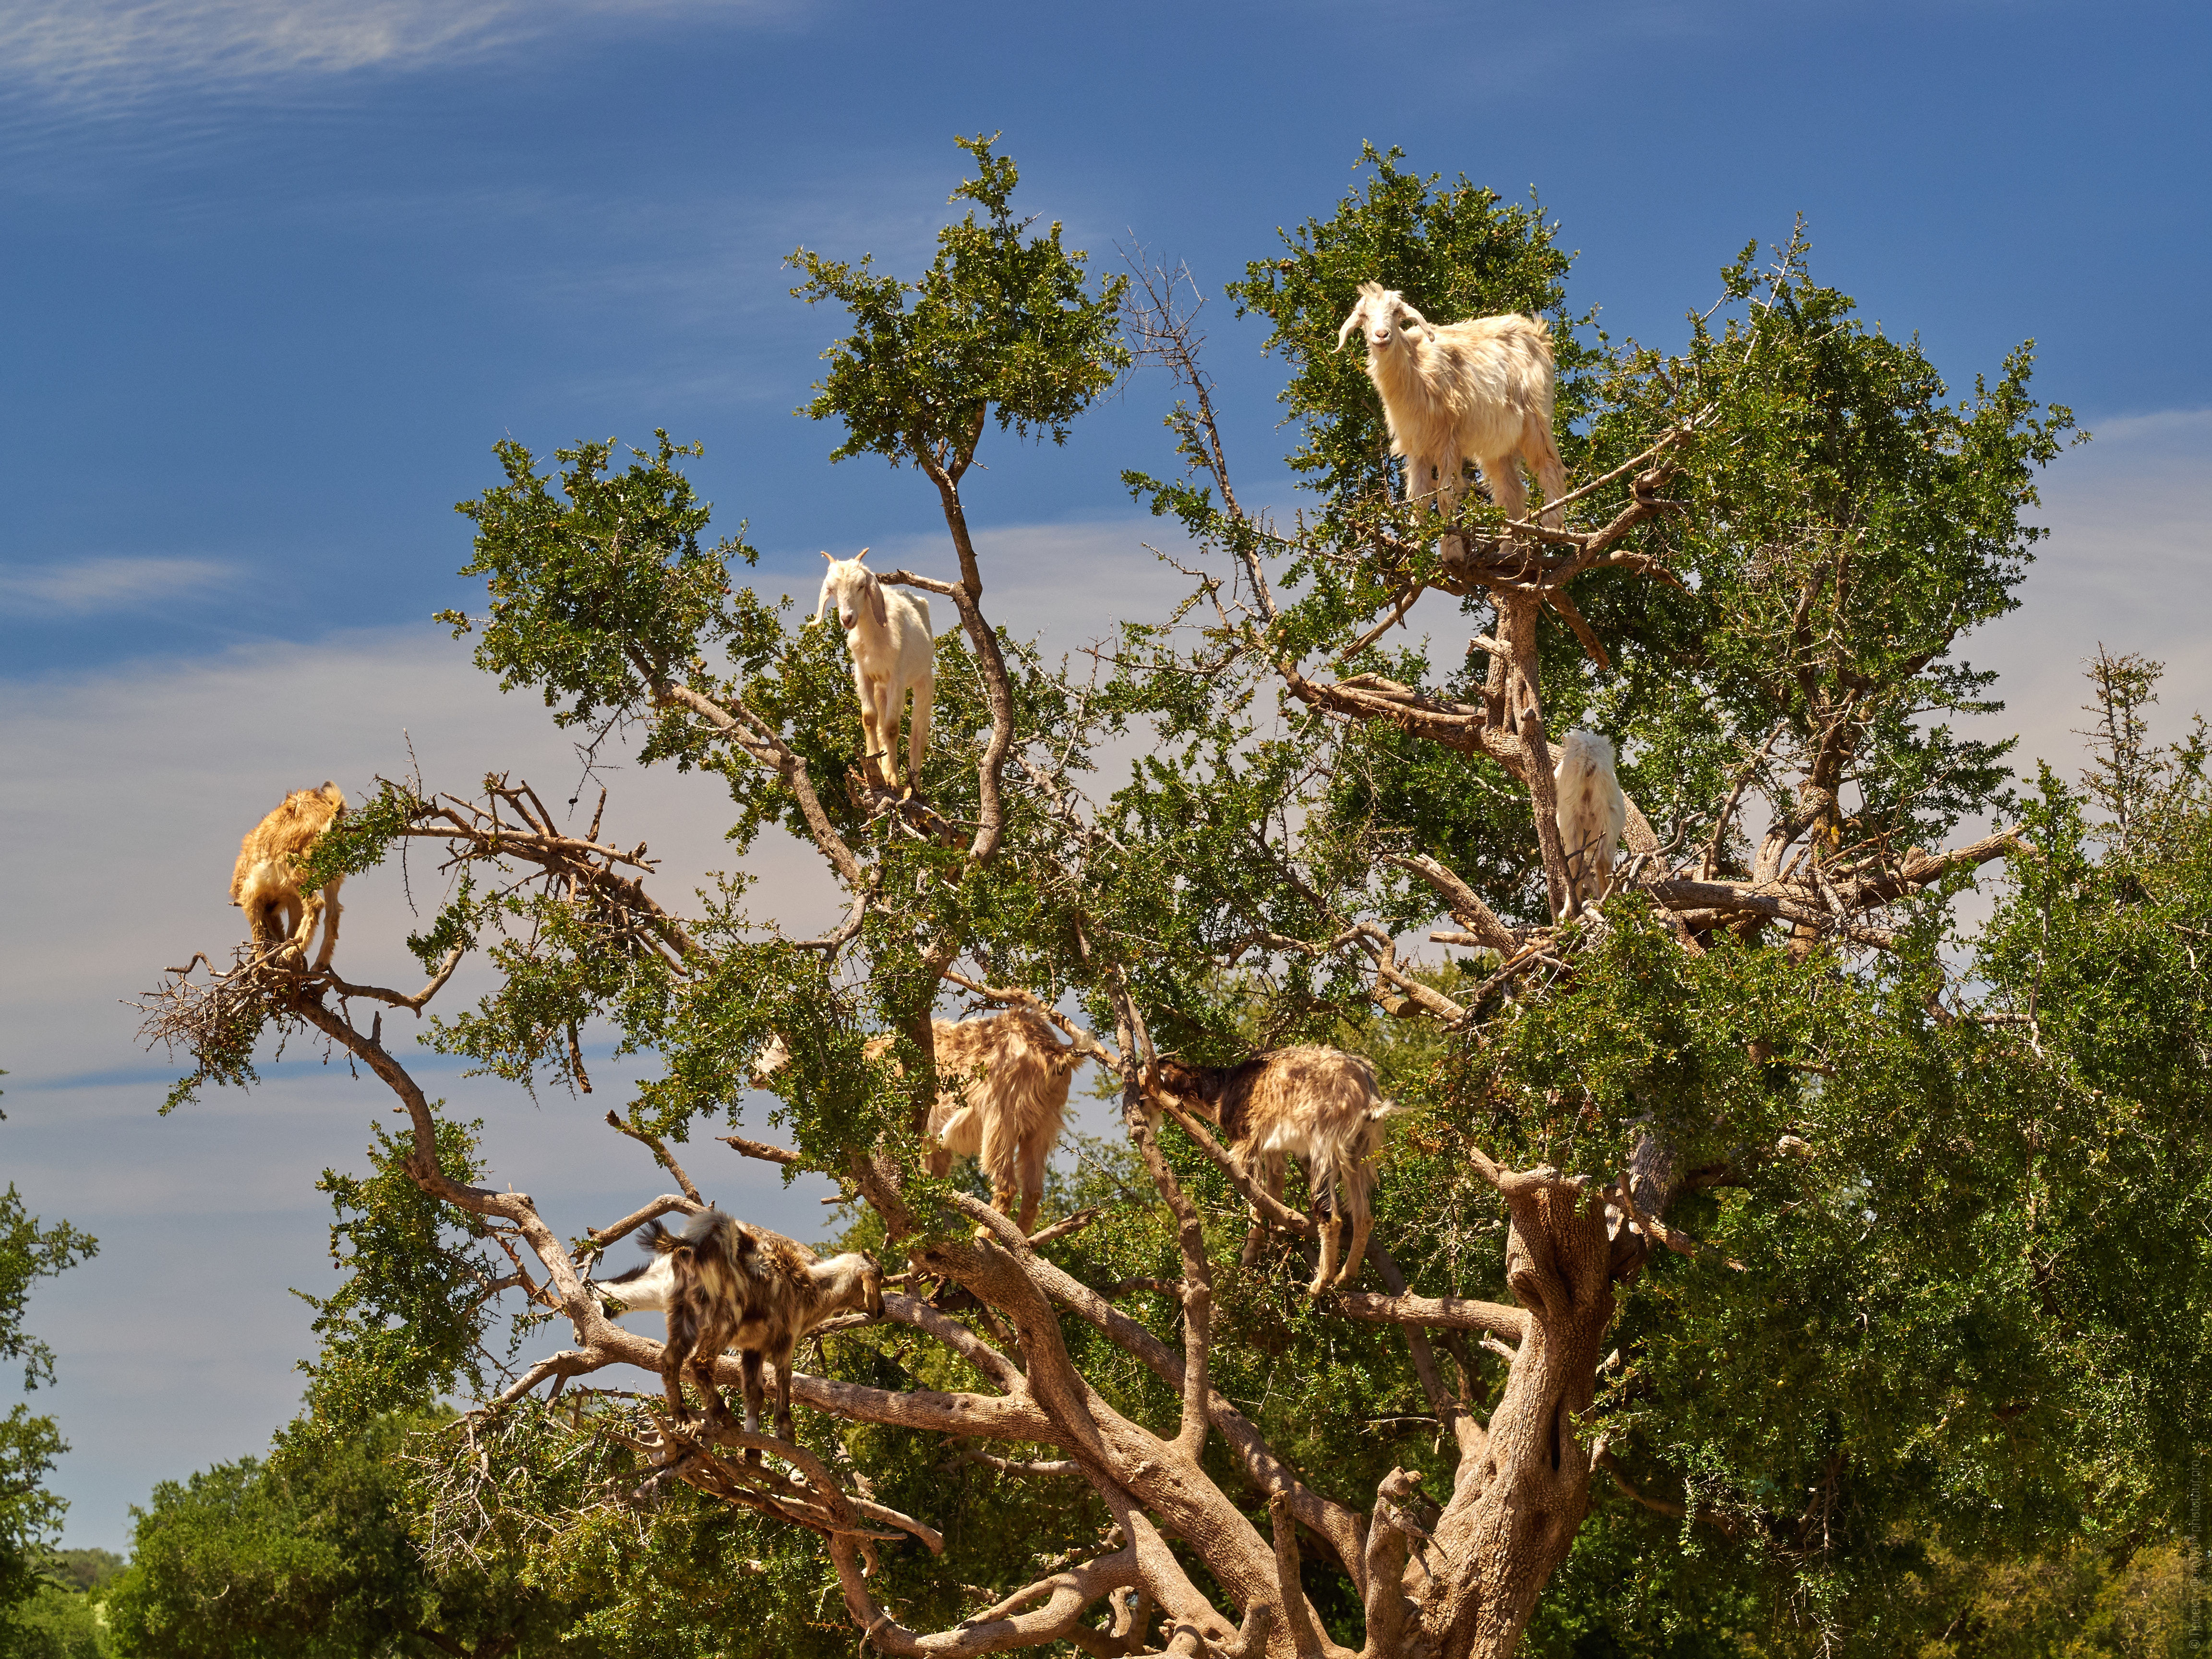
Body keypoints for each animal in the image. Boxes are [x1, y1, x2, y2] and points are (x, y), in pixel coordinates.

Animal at [228, 787, 345, 973]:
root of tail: (330, 812)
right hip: (332, 872)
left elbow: (258, 932)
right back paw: (319, 963)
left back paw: (288, 954)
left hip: (295, 870)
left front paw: (261, 966)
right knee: (333, 912)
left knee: (316, 904)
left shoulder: (251, 898)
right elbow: (291, 928)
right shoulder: (292, 902)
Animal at [823, 553, 942, 801]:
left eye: (861, 586)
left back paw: (912, 788)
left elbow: (892, 727)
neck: (875, 639)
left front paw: (892, 779)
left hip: (923, 680)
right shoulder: (863, 673)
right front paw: (874, 766)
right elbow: (870, 718)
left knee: (919, 732)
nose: (847, 619)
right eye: (831, 589)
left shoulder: (897, 676)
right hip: (882, 686)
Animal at [1141, 1053, 1398, 1300]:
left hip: (1325, 1143)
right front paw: (1277, 1236)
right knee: (1363, 1216)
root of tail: (1367, 1093)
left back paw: (1320, 1283)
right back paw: (1345, 1275)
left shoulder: (1246, 1140)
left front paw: (1250, 1253)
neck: (1223, 1090)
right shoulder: (1274, 1147)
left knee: (1331, 1217)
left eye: (1142, 1085)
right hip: (1359, 1152)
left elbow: (1252, 1191)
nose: (1142, 1114)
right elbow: (1274, 1186)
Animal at [1557, 730, 1628, 925]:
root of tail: (1588, 759)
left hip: (1569, 817)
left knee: (1575, 861)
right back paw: (1605, 901)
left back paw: (1569, 911)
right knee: (1602, 860)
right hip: (1608, 816)